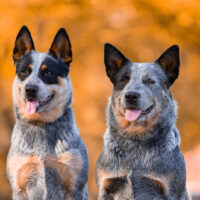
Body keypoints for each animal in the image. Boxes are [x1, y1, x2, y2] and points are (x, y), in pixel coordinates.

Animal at [6, 25, 88, 200]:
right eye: (24, 71)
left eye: (48, 73)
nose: (30, 89)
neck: (40, 125)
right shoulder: (20, 185)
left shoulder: (74, 186)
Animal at [96, 43, 188, 200]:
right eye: (124, 80)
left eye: (149, 81)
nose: (131, 95)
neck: (136, 140)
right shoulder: (106, 186)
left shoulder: (170, 191)